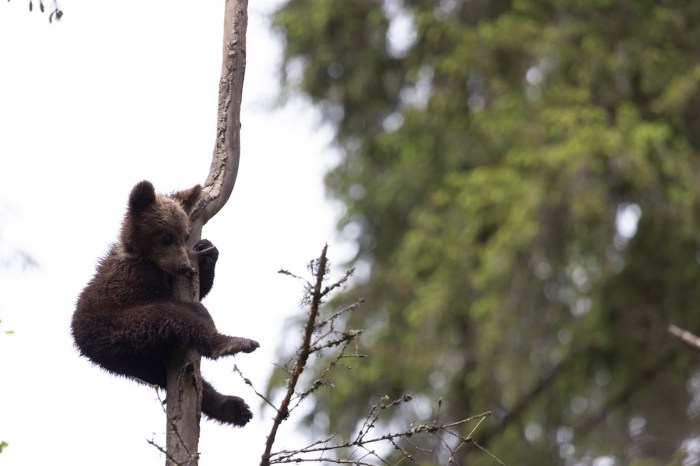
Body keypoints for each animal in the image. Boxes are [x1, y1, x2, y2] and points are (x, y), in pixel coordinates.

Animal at [71, 180, 259, 426]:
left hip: (136, 360)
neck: (143, 256)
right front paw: (198, 307)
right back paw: (231, 343)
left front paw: (208, 252)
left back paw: (233, 408)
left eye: (186, 235)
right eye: (166, 236)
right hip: (119, 330)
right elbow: (171, 299)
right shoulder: (133, 281)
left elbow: (201, 289)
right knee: (172, 317)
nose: (183, 265)